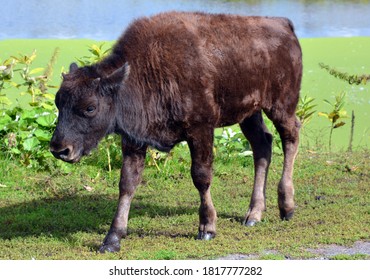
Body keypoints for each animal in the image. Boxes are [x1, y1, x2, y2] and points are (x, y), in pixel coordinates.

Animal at [50, 10, 302, 253]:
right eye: (58, 102)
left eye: (90, 107)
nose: (60, 149)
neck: (148, 70)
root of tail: (284, 25)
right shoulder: (134, 140)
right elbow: (127, 183)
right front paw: (112, 240)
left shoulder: (200, 130)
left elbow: (201, 176)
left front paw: (207, 228)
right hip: (249, 113)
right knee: (262, 145)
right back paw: (253, 214)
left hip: (281, 106)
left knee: (291, 136)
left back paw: (287, 207)